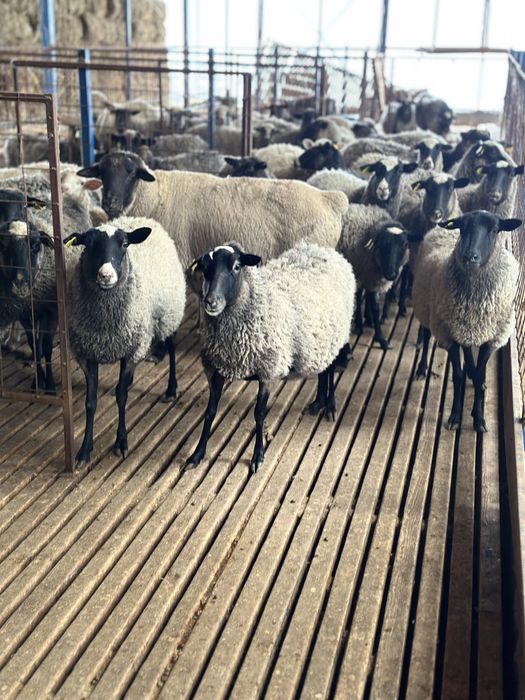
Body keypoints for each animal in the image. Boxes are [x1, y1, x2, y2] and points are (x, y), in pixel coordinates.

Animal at [62, 216, 186, 466]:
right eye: (88, 244)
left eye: (124, 244)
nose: (106, 275)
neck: (105, 327)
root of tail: (147, 220)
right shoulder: (88, 353)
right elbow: (90, 402)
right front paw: (84, 450)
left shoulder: (130, 350)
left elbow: (121, 399)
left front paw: (121, 443)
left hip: (167, 313)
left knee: (171, 347)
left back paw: (171, 388)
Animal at [186, 241, 355, 472]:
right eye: (204, 267)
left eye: (237, 267)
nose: (211, 302)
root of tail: (325, 250)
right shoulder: (216, 368)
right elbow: (210, 412)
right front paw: (197, 454)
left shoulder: (268, 370)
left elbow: (259, 414)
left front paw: (258, 457)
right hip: (319, 342)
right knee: (322, 370)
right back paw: (317, 403)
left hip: (335, 335)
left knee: (330, 370)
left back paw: (330, 405)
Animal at [338, 204, 409, 349]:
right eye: (384, 244)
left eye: (404, 244)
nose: (391, 274)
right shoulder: (369, 275)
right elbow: (376, 308)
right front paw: (381, 339)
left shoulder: (368, 275)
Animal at [411, 211, 521, 431]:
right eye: (462, 227)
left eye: (494, 229)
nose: (470, 256)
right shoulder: (448, 335)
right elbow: (457, 376)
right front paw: (455, 416)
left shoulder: (491, 338)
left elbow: (479, 377)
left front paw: (478, 418)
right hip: (427, 305)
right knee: (426, 336)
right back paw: (421, 368)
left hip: (464, 327)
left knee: (469, 351)